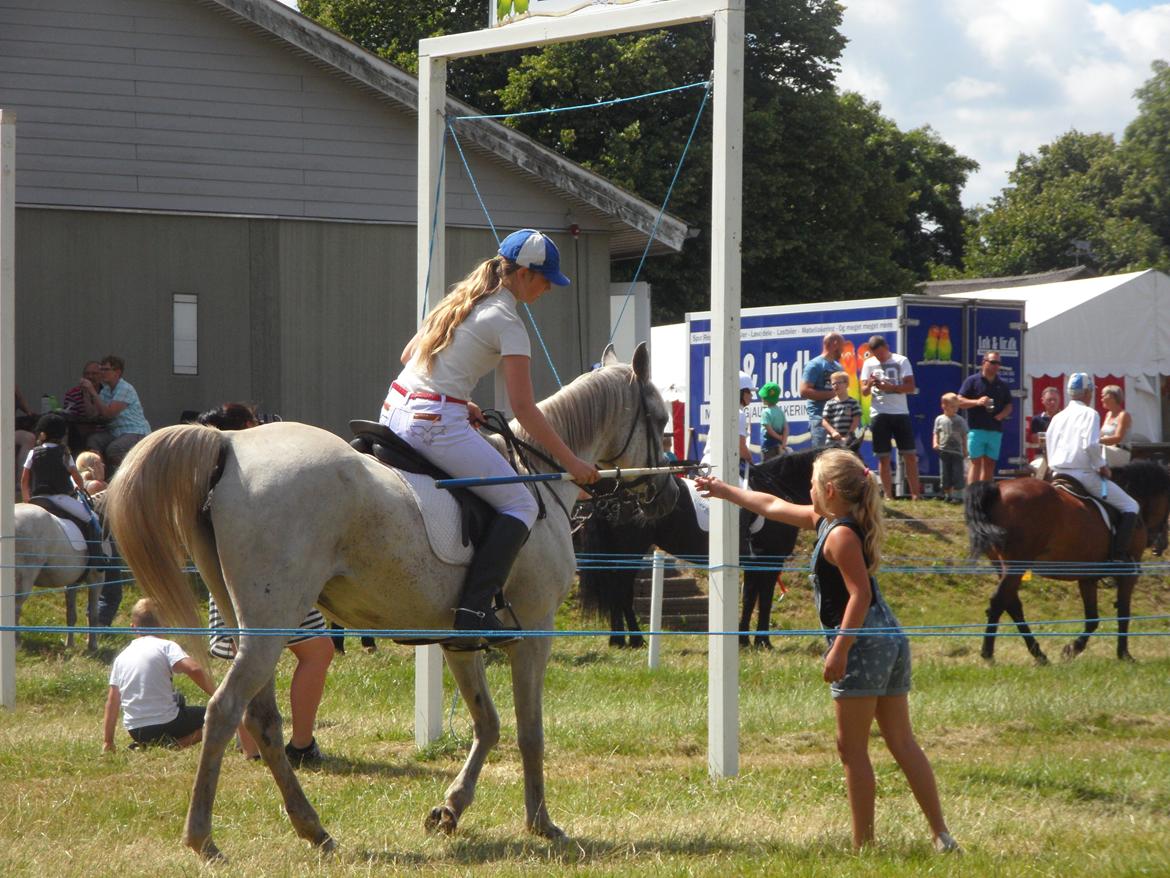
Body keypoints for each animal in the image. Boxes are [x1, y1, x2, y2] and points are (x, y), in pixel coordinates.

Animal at [111, 346, 678, 866]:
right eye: (660, 419)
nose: (669, 493)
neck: (538, 476)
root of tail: (229, 445)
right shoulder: (534, 631)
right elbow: (529, 731)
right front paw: (541, 822)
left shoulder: (459, 638)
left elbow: (488, 722)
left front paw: (450, 811)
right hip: (270, 624)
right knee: (225, 711)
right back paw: (204, 840)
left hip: (251, 626)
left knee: (262, 720)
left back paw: (314, 830)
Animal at [577, 449, 823, 650]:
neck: (778, 491)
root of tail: (612, 495)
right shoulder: (770, 561)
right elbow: (764, 600)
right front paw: (763, 642)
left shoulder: (756, 563)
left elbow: (749, 598)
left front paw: (743, 640)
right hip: (630, 552)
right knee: (621, 591)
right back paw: (635, 639)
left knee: (615, 591)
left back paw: (618, 639)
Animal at [959, 463, 1170, 664]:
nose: (1161, 545)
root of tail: (997, 487)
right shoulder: (1128, 574)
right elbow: (1124, 612)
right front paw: (1124, 655)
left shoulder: (1087, 577)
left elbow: (1092, 618)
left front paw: (1072, 649)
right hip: (1016, 565)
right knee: (999, 602)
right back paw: (989, 654)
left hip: (1002, 564)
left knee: (1012, 605)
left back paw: (1039, 655)